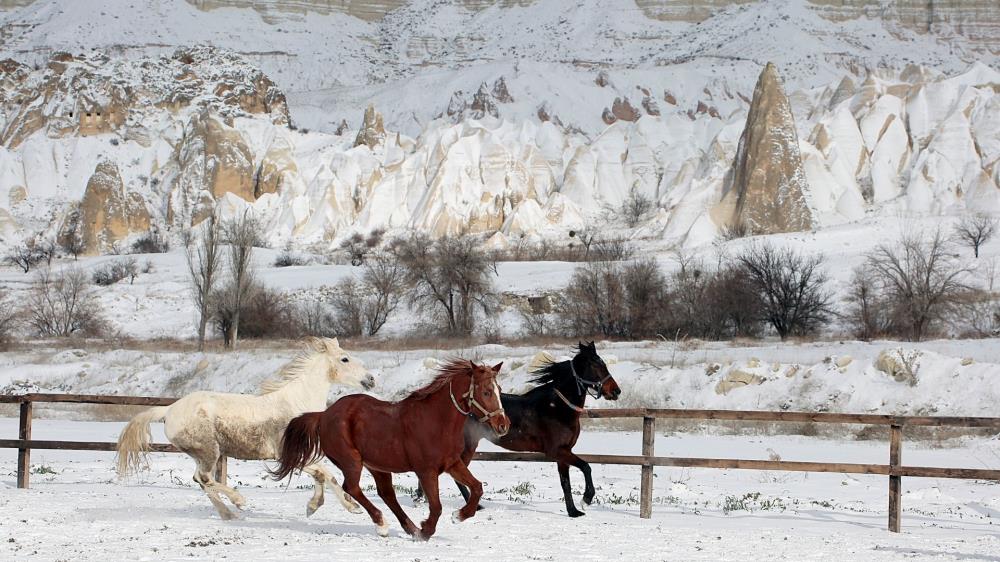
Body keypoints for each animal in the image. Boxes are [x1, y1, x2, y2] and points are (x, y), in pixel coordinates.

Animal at [116, 337, 375, 520]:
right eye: (345, 359)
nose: (371, 379)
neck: (297, 404)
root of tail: (169, 410)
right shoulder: (286, 454)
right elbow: (326, 474)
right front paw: (345, 507)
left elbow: (324, 475)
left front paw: (319, 507)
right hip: (209, 451)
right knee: (204, 478)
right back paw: (238, 501)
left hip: (202, 454)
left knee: (201, 480)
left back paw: (229, 515)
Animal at [270, 359, 511, 540]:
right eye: (486, 392)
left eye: (499, 390)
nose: (503, 425)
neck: (436, 421)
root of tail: (323, 415)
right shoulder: (426, 471)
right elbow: (436, 506)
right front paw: (426, 530)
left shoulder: (452, 463)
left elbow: (477, 488)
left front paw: (458, 516)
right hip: (352, 461)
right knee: (352, 487)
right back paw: (382, 524)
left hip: (377, 466)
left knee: (386, 494)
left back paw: (409, 528)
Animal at [414, 341, 620, 517]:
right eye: (596, 366)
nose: (616, 391)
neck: (557, 407)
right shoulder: (556, 451)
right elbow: (586, 467)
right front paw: (586, 499)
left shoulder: (564, 452)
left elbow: (566, 483)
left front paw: (573, 512)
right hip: (467, 446)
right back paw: (474, 506)